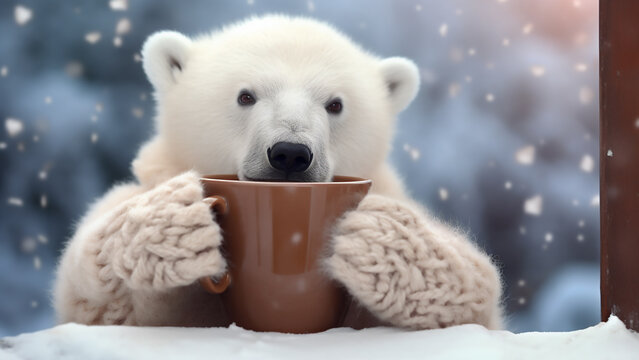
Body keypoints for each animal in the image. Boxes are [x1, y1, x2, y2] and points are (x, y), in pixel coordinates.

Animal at [53, 14, 504, 330]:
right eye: (245, 95)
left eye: (335, 104)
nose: (289, 154)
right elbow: (99, 306)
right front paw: (174, 230)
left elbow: (477, 299)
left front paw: (380, 243)